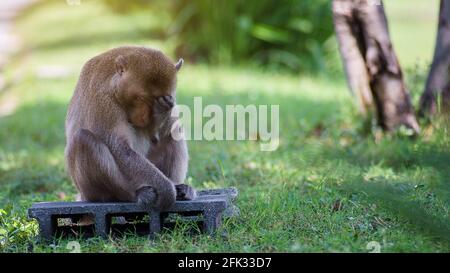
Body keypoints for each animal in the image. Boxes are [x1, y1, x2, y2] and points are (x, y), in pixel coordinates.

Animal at [64, 45, 197, 209]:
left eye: (157, 99)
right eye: (141, 98)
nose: (143, 116)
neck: (113, 83)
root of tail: (81, 195)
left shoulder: (170, 99)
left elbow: (161, 132)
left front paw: (161, 112)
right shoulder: (103, 100)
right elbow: (119, 147)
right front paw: (166, 188)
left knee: (172, 132)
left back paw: (179, 187)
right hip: (91, 191)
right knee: (84, 140)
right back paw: (132, 194)